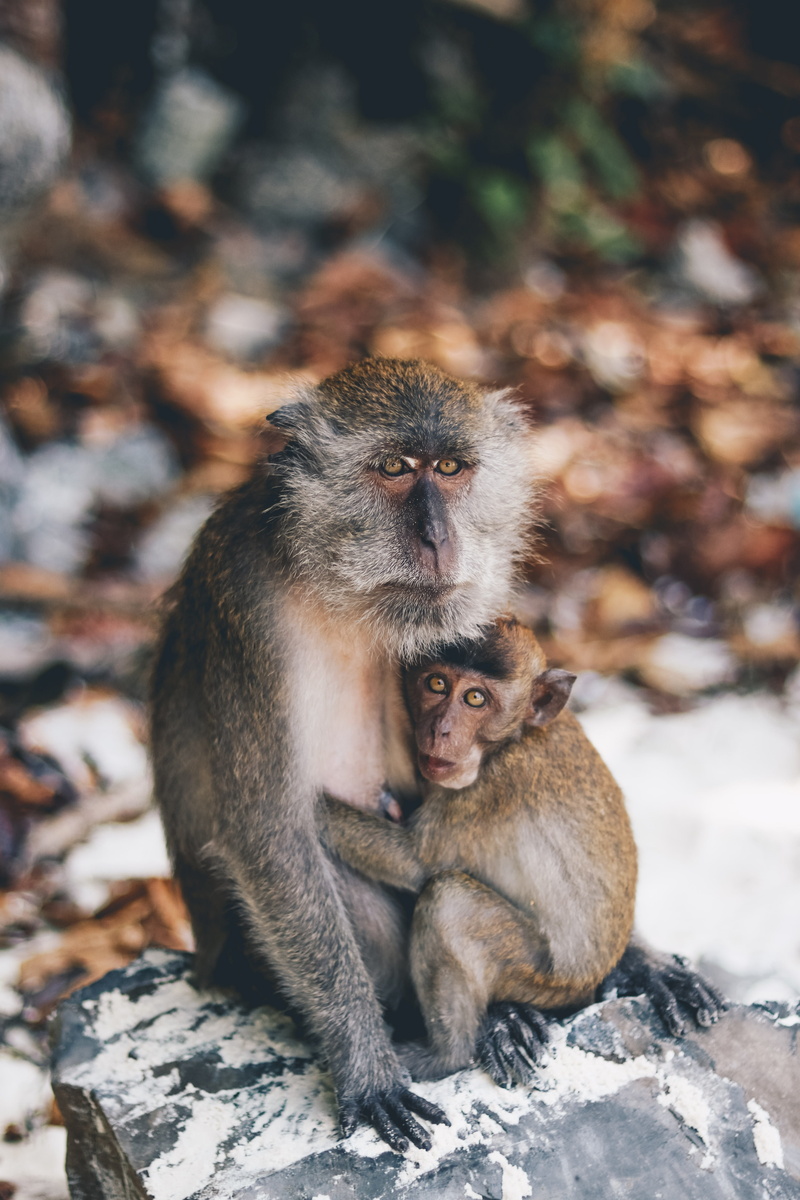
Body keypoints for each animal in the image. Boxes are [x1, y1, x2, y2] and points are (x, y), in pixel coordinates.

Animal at [151, 357, 724, 1151]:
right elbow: (269, 835)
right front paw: (366, 1067)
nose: (435, 537)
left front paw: (639, 956)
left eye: (451, 469)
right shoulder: (241, 609)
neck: (337, 586)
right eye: (394, 468)